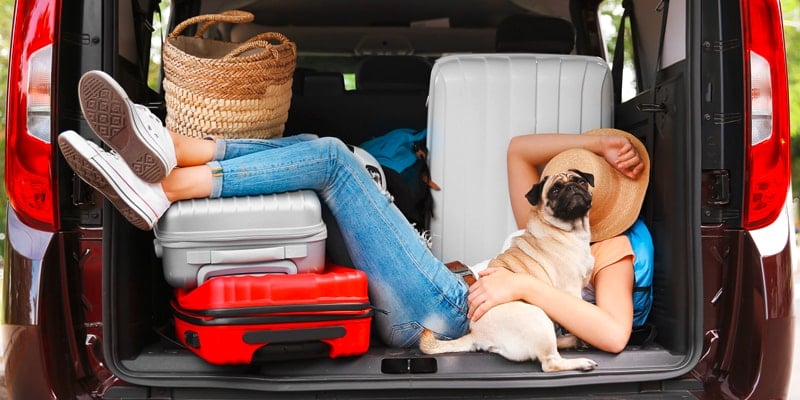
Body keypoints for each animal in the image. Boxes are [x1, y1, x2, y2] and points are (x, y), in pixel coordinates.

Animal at [418, 169, 600, 372]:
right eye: (555, 190)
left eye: (581, 182)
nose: (572, 187)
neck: (570, 231)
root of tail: (476, 334)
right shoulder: (571, 291)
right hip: (538, 317)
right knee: (550, 363)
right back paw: (581, 360)